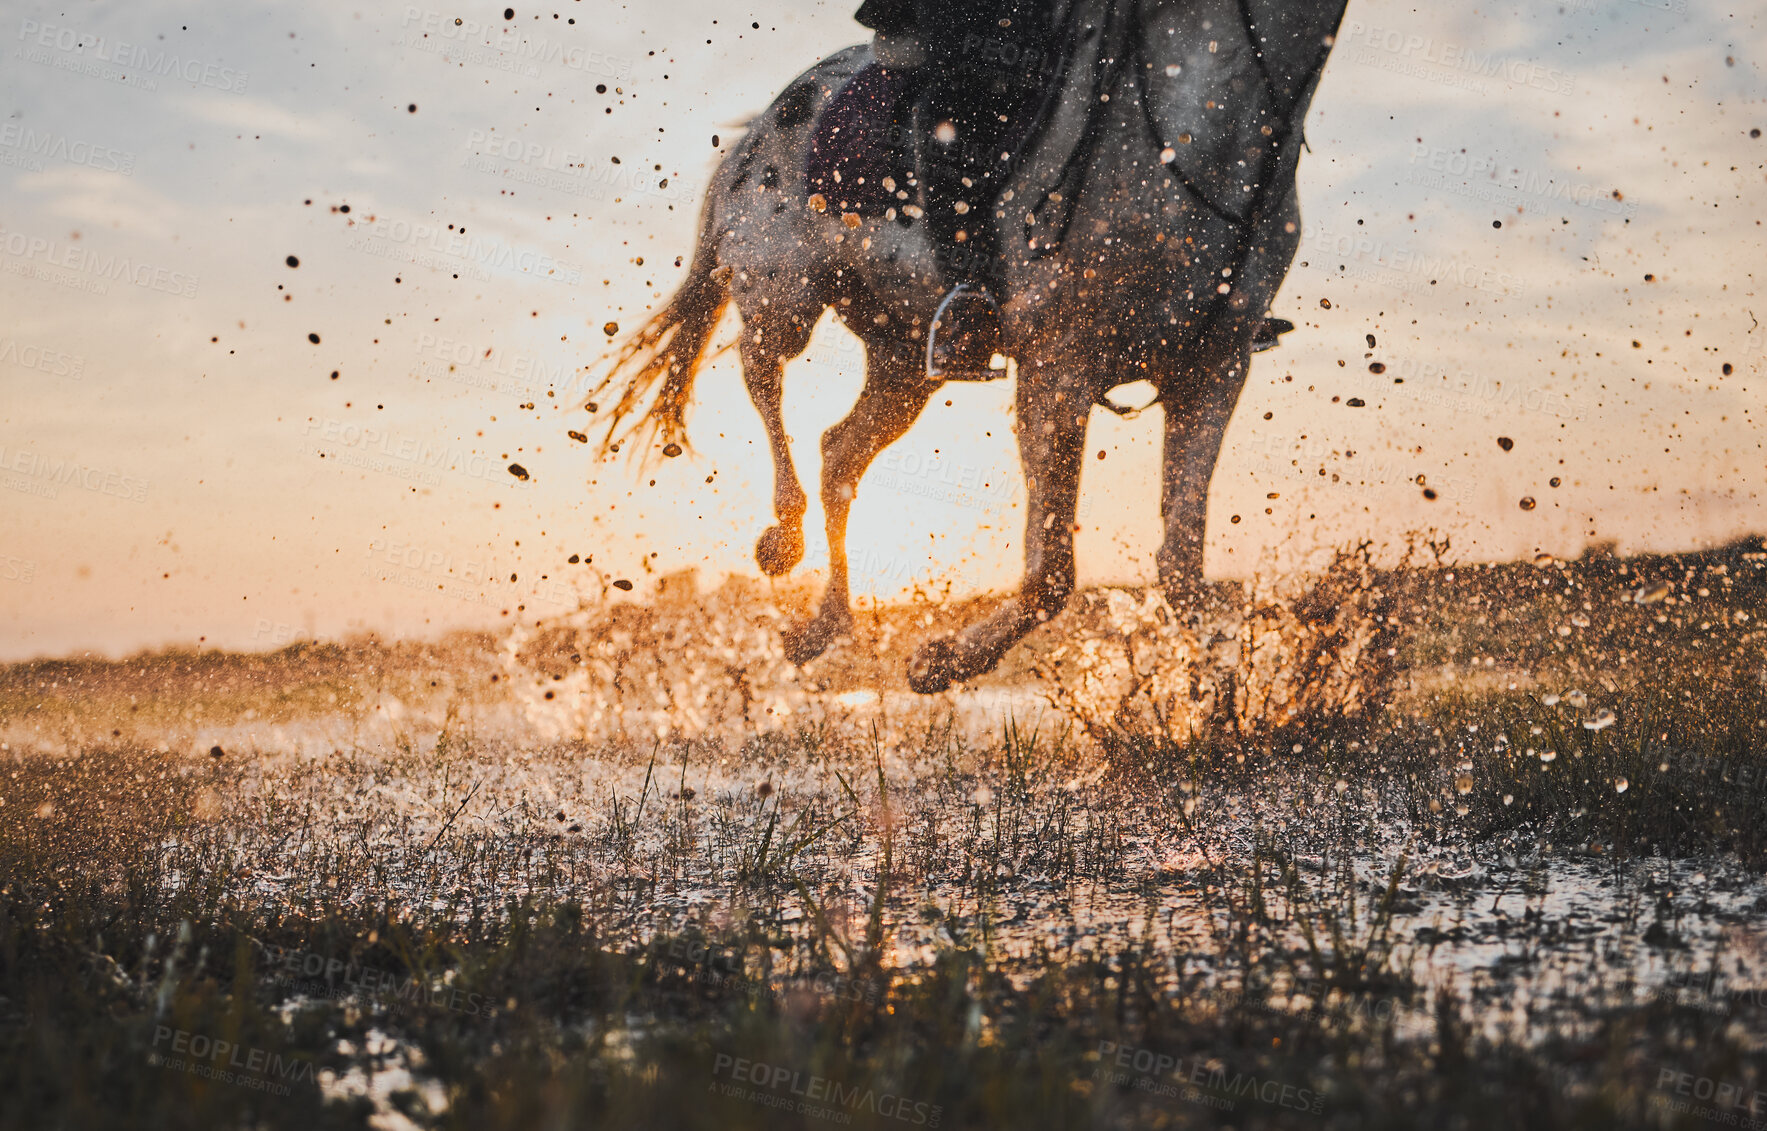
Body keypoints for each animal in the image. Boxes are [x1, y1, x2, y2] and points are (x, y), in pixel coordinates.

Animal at [593, 0, 1349, 689]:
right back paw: (783, 534)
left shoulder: (1213, 373)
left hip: (906, 362)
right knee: (759, 371)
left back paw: (824, 624)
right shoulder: (1058, 370)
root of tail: (760, 125)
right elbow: (1050, 573)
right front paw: (945, 659)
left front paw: (1227, 704)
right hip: (781, 291)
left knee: (840, 452)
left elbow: (1183, 570)